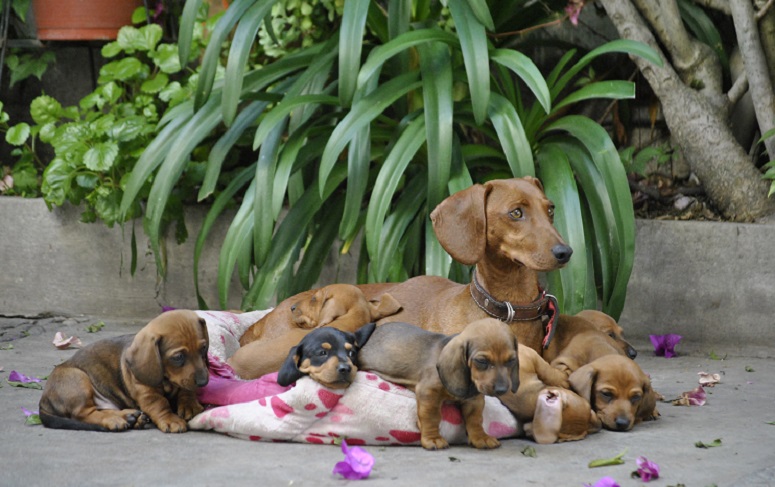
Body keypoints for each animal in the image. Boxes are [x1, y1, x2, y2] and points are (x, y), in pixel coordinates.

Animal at [39, 310, 209, 432]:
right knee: (84, 413)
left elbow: (186, 390)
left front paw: (190, 404)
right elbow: (160, 404)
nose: (204, 382)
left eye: (203, 348)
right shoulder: (146, 392)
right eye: (178, 357)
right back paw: (115, 420)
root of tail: (43, 402)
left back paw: (129, 416)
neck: (167, 379)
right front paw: (170, 419)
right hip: (77, 378)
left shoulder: (183, 382)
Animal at [360, 318, 520, 452]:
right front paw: (433, 438)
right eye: (482, 361)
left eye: (511, 360)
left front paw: (481, 437)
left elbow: (475, 419)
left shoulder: (474, 400)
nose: (501, 390)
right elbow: (431, 417)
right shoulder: (428, 392)